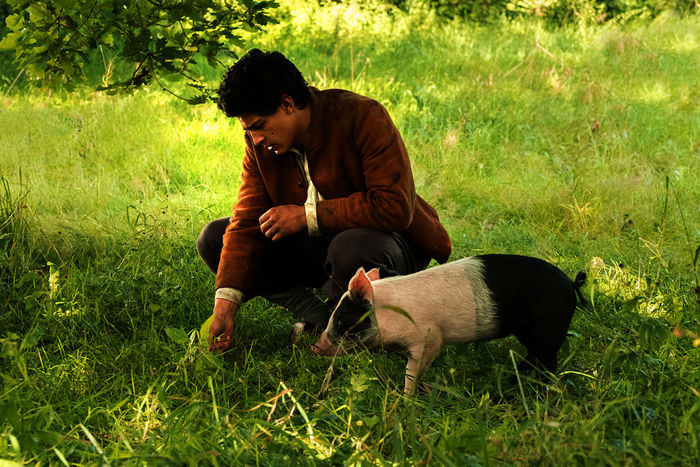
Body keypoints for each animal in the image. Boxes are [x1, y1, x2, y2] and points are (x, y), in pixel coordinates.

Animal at [312, 256, 584, 394]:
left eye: (341, 318)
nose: (315, 347)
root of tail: (571, 284)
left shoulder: (429, 338)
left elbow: (412, 370)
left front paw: (408, 398)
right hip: (526, 331)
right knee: (533, 355)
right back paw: (514, 377)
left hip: (549, 327)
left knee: (548, 361)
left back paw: (539, 391)